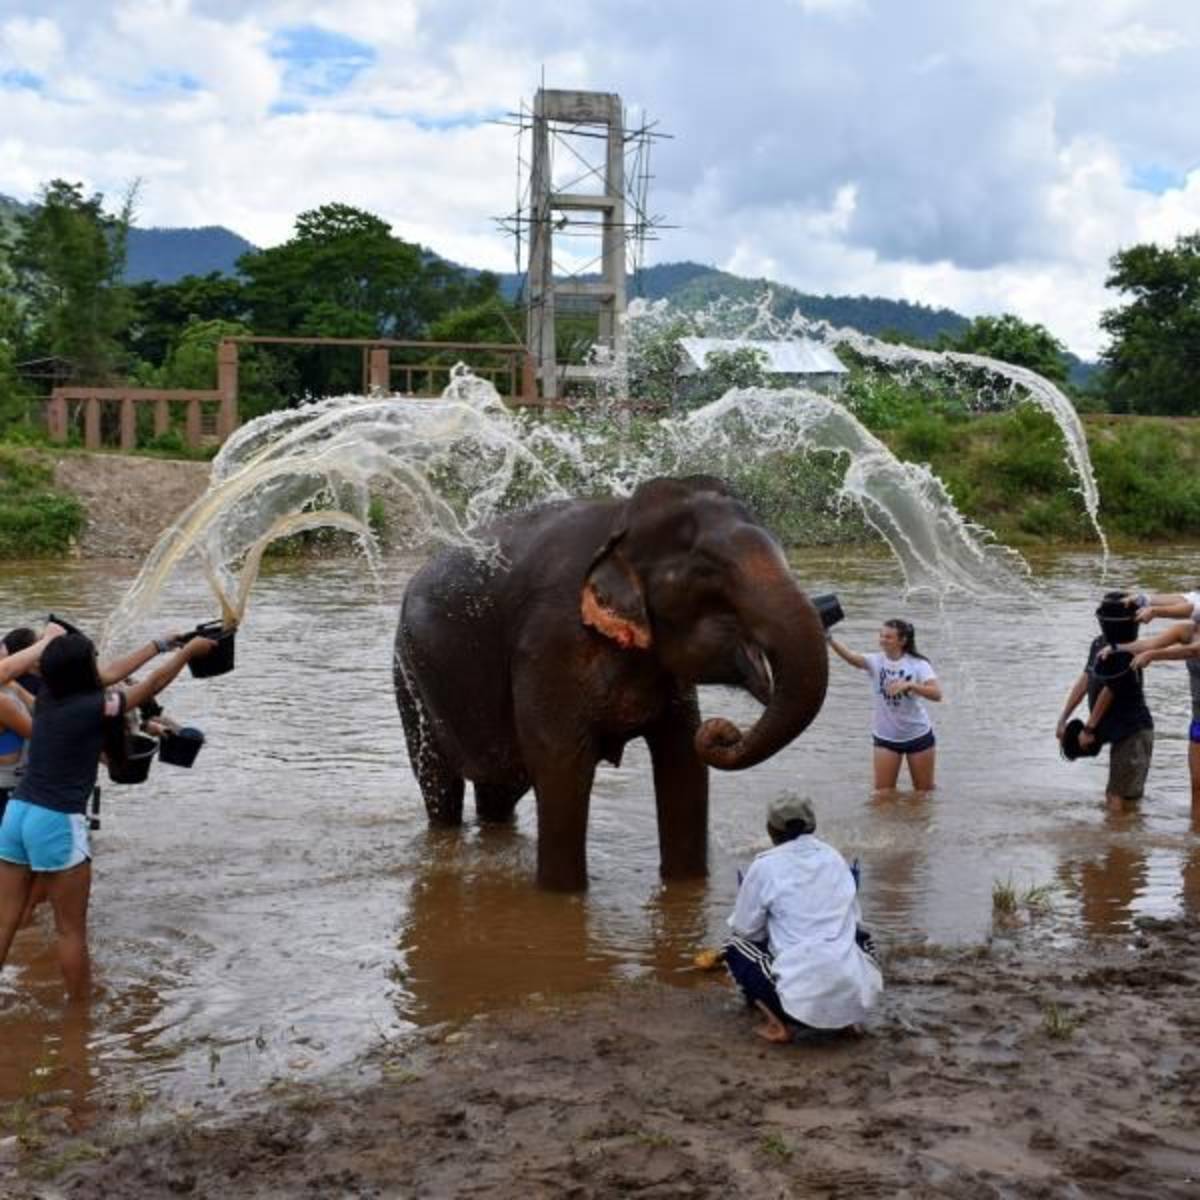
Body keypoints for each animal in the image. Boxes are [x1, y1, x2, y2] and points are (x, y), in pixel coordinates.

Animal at [394, 475, 829, 891]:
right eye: (709, 575)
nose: (724, 731)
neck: (620, 521)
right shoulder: (549, 645)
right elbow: (562, 767)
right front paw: (562, 896)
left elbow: (683, 760)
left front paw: (686, 886)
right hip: (408, 675)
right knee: (439, 784)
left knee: (500, 788)